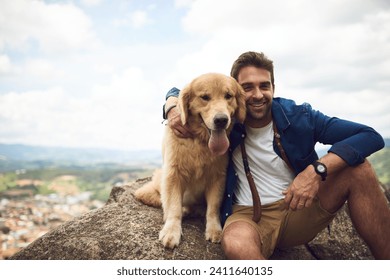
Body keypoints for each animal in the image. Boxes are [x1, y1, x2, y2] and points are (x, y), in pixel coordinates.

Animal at [134, 73, 244, 248]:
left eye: (228, 96)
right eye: (205, 97)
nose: (221, 120)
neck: (200, 141)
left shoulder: (218, 176)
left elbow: (213, 207)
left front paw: (214, 230)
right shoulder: (173, 173)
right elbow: (173, 206)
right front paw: (171, 230)